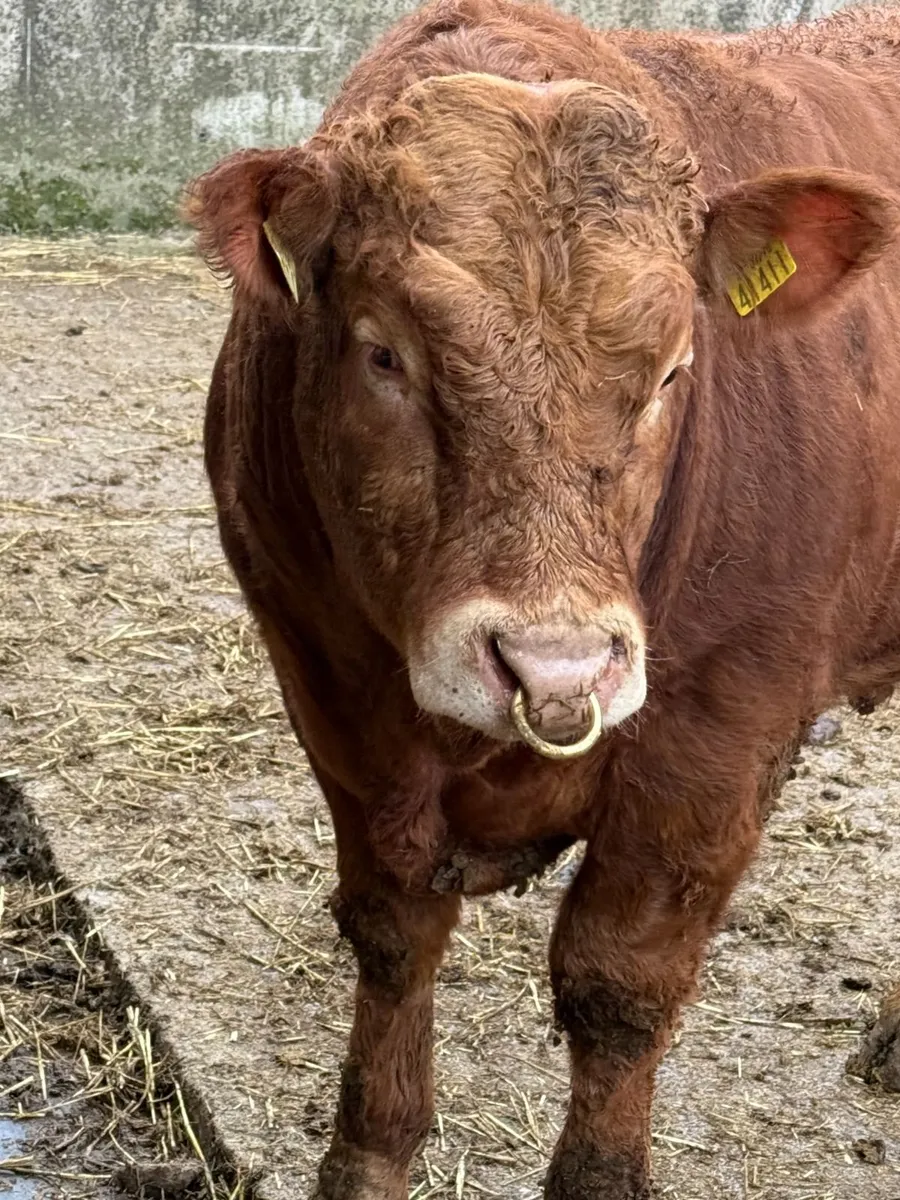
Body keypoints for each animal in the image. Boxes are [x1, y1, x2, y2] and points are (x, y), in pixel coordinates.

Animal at [188, 1, 900, 1196]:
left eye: (675, 369)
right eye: (384, 353)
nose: (554, 668)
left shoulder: (719, 740)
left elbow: (619, 987)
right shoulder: (326, 689)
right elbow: (392, 932)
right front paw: (369, 1155)